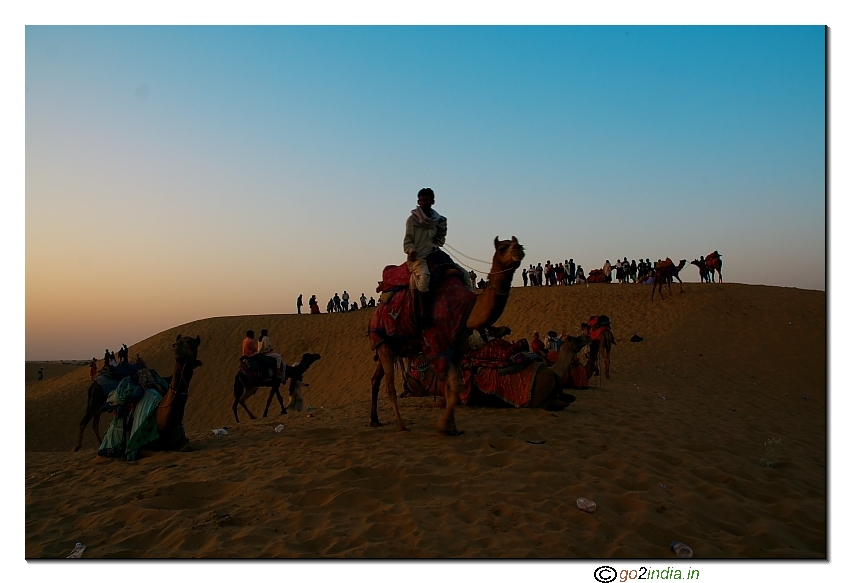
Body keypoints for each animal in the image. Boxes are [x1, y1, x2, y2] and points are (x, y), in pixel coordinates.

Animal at [370, 235, 524, 436]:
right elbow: (448, 384)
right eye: (502, 248)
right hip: (384, 343)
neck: (466, 308)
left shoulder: (458, 346)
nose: (519, 249)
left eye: (518, 243)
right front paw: (444, 425)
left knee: (376, 379)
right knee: (389, 385)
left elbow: (456, 386)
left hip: (390, 344)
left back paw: (375, 421)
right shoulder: (438, 344)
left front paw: (451, 427)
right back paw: (401, 425)